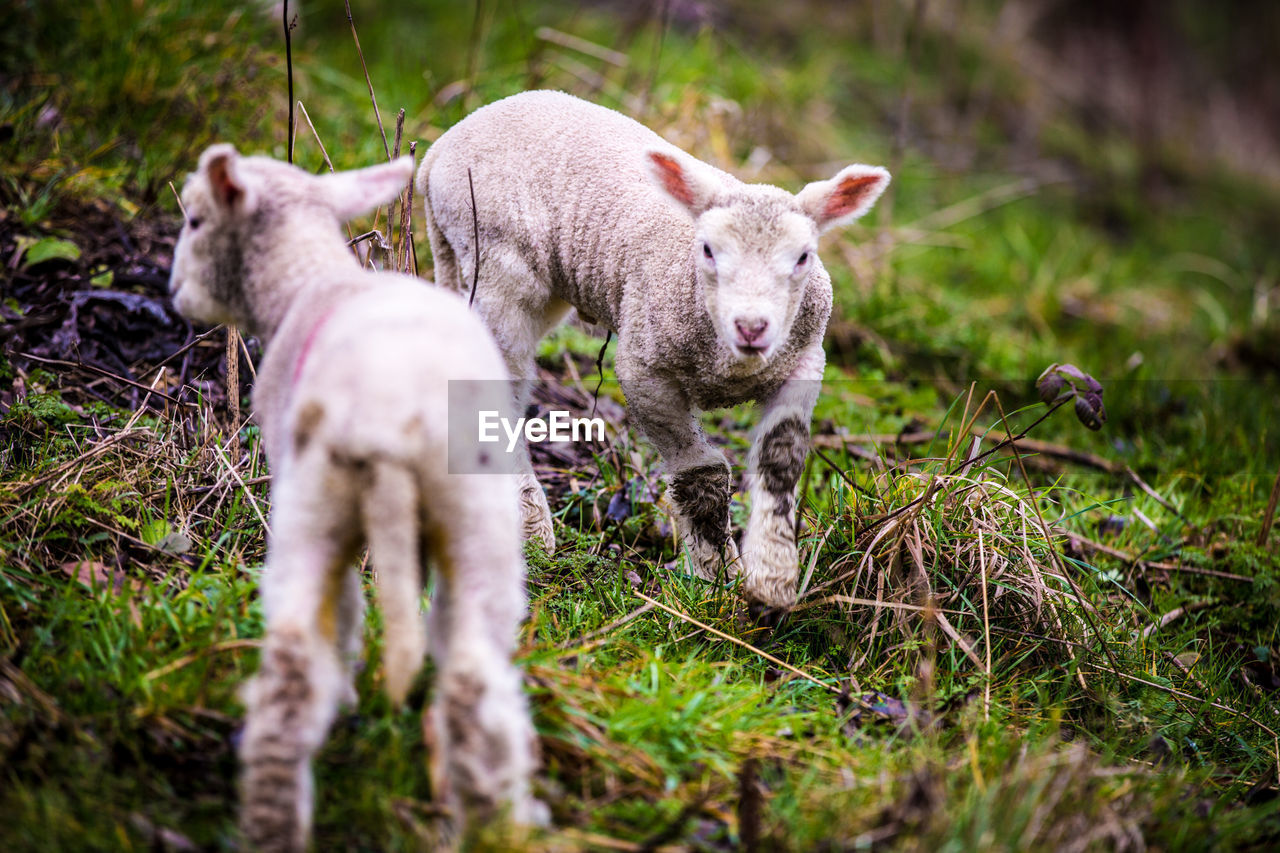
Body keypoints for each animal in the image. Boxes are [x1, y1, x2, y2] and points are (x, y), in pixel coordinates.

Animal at [168, 142, 540, 845]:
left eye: (196, 220)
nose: (174, 291)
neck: (305, 281)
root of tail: (393, 417)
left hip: (316, 505)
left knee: (292, 674)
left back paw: (270, 825)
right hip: (479, 519)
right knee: (475, 682)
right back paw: (499, 824)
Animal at [419, 89, 890, 614]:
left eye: (803, 257)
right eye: (707, 250)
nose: (752, 327)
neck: (731, 365)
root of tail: (443, 145)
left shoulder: (805, 359)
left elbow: (780, 461)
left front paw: (771, 579)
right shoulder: (644, 366)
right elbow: (702, 474)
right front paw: (717, 580)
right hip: (499, 260)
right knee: (497, 387)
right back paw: (529, 526)